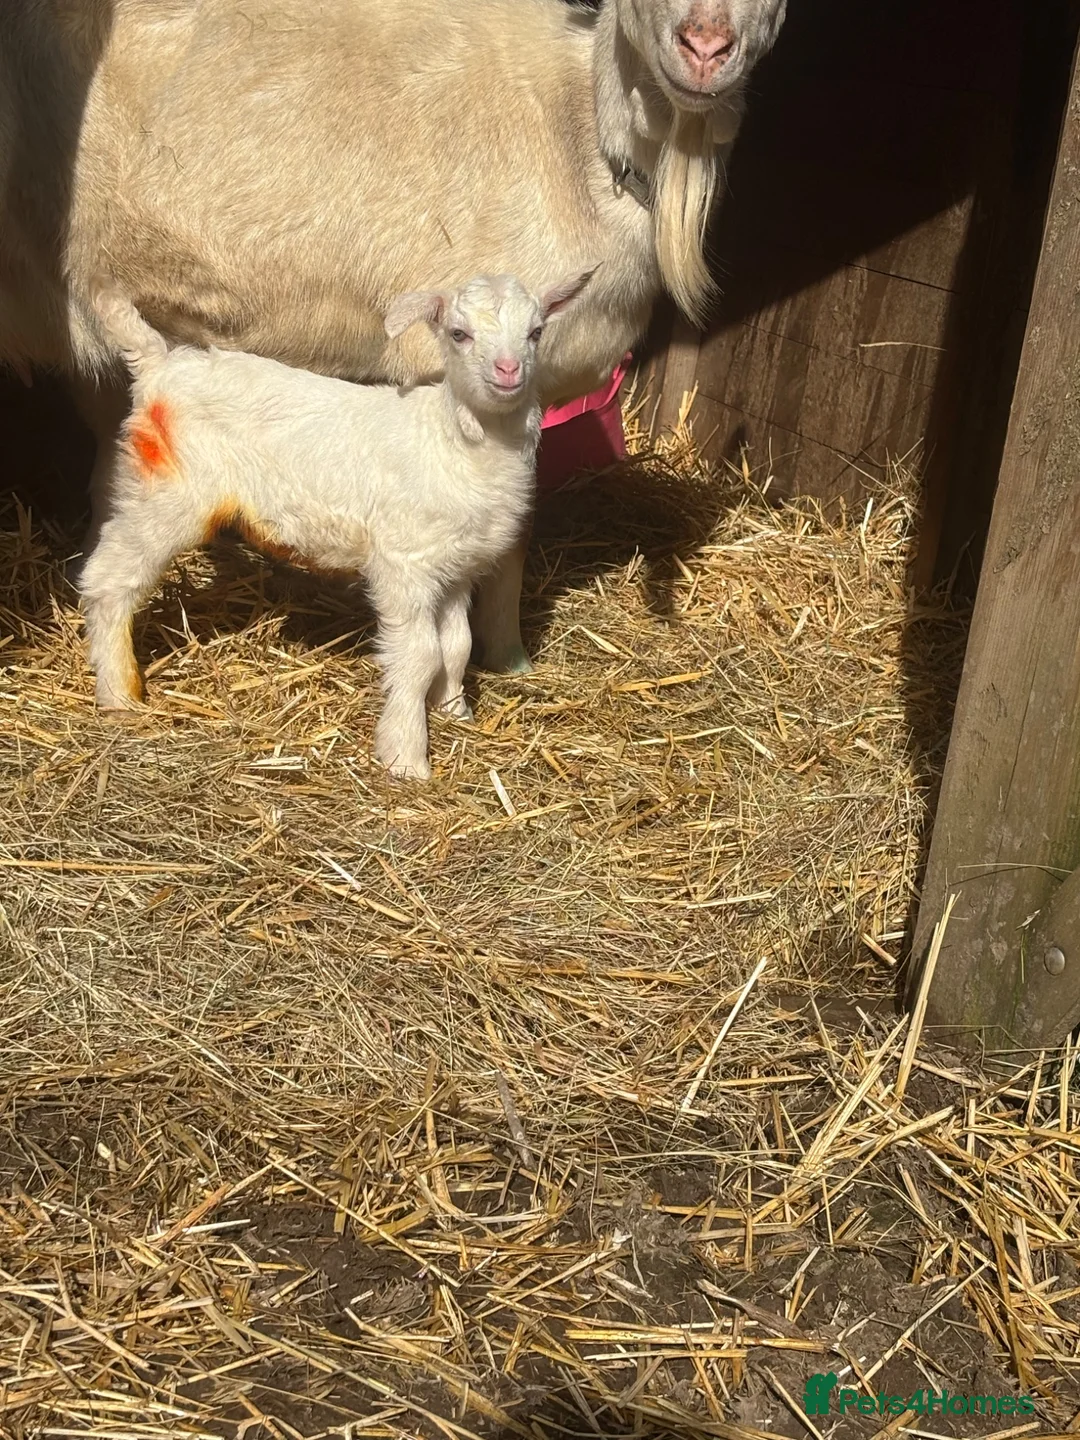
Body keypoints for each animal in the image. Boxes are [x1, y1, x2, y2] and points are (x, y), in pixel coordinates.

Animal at [80, 269, 593, 779]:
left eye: (536, 332)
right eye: (458, 334)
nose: (508, 371)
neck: (453, 440)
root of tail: (159, 364)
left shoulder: (455, 568)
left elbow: (457, 645)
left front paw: (455, 712)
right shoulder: (403, 564)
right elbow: (421, 654)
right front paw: (407, 756)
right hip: (167, 492)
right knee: (109, 579)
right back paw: (118, 692)